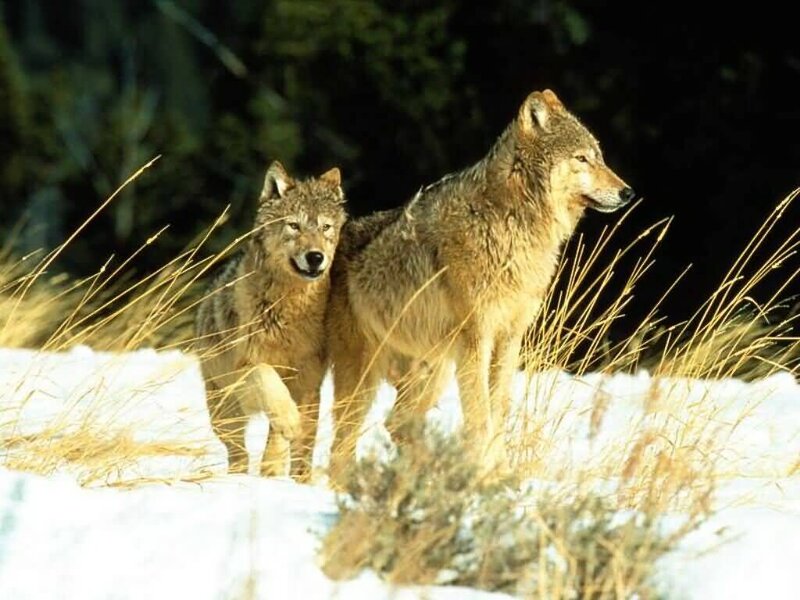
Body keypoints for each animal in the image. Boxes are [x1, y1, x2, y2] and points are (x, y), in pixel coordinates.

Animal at [196, 161, 346, 480]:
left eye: (325, 227)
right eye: (294, 225)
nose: (316, 257)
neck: (287, 314)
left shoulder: (305, 378)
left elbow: (279, 432)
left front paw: (274, 463)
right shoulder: (247, 367)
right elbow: (268, 379)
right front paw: (288, 423)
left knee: (302, 451)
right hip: (224, 412)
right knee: (238, 452)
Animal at [327, 89, 636, 479]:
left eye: (600, 157)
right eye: (582, 158)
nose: (627, 192)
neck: (513, 225)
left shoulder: (509, 338)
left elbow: (498, 408)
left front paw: (501, 474)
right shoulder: (477, 338)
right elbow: (480, 414)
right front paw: (485, 474)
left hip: (433, 372)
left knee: (394, 425)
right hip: (364, 381)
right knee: (341, 443)